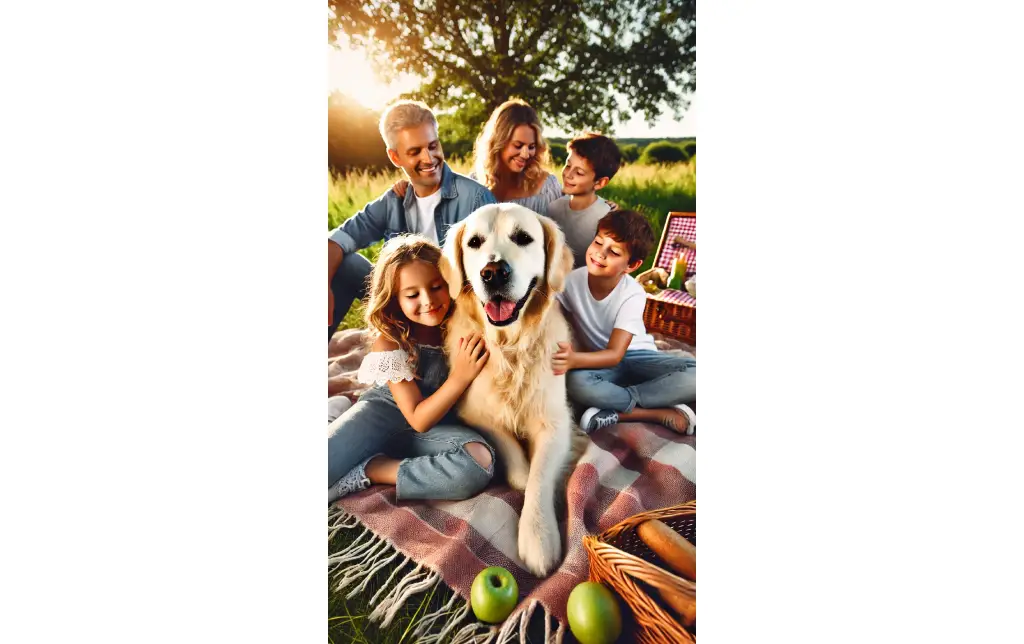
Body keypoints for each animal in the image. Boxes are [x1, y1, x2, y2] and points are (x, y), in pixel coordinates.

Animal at [440, 203, 581, 573]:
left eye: (523, 238)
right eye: (474, 242)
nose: (493, 272)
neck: (510, 347)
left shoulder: (557, 422)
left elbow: (539, 476)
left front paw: (538, 536)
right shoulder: (472, 410)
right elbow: (511, 453)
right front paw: (521, 470)